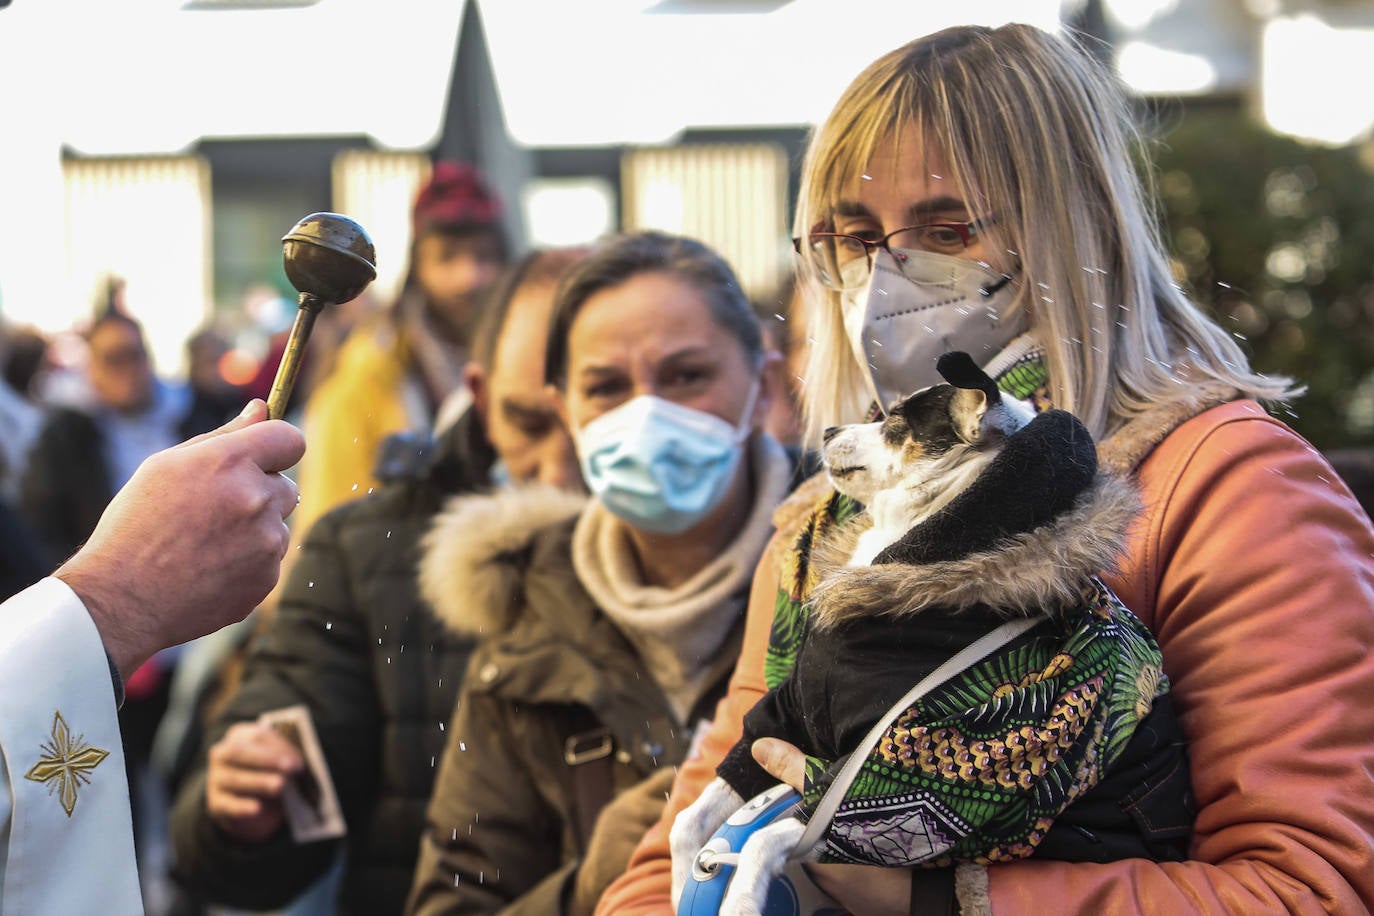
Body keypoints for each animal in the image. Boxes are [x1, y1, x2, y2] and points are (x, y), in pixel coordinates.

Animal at [667, 354, 1181, 916]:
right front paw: (679, 881)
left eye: (893, 422)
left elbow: (769, 837)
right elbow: (692, 814)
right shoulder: (792, 710)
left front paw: (741, 898)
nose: (827, 430)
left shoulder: (879, 778)